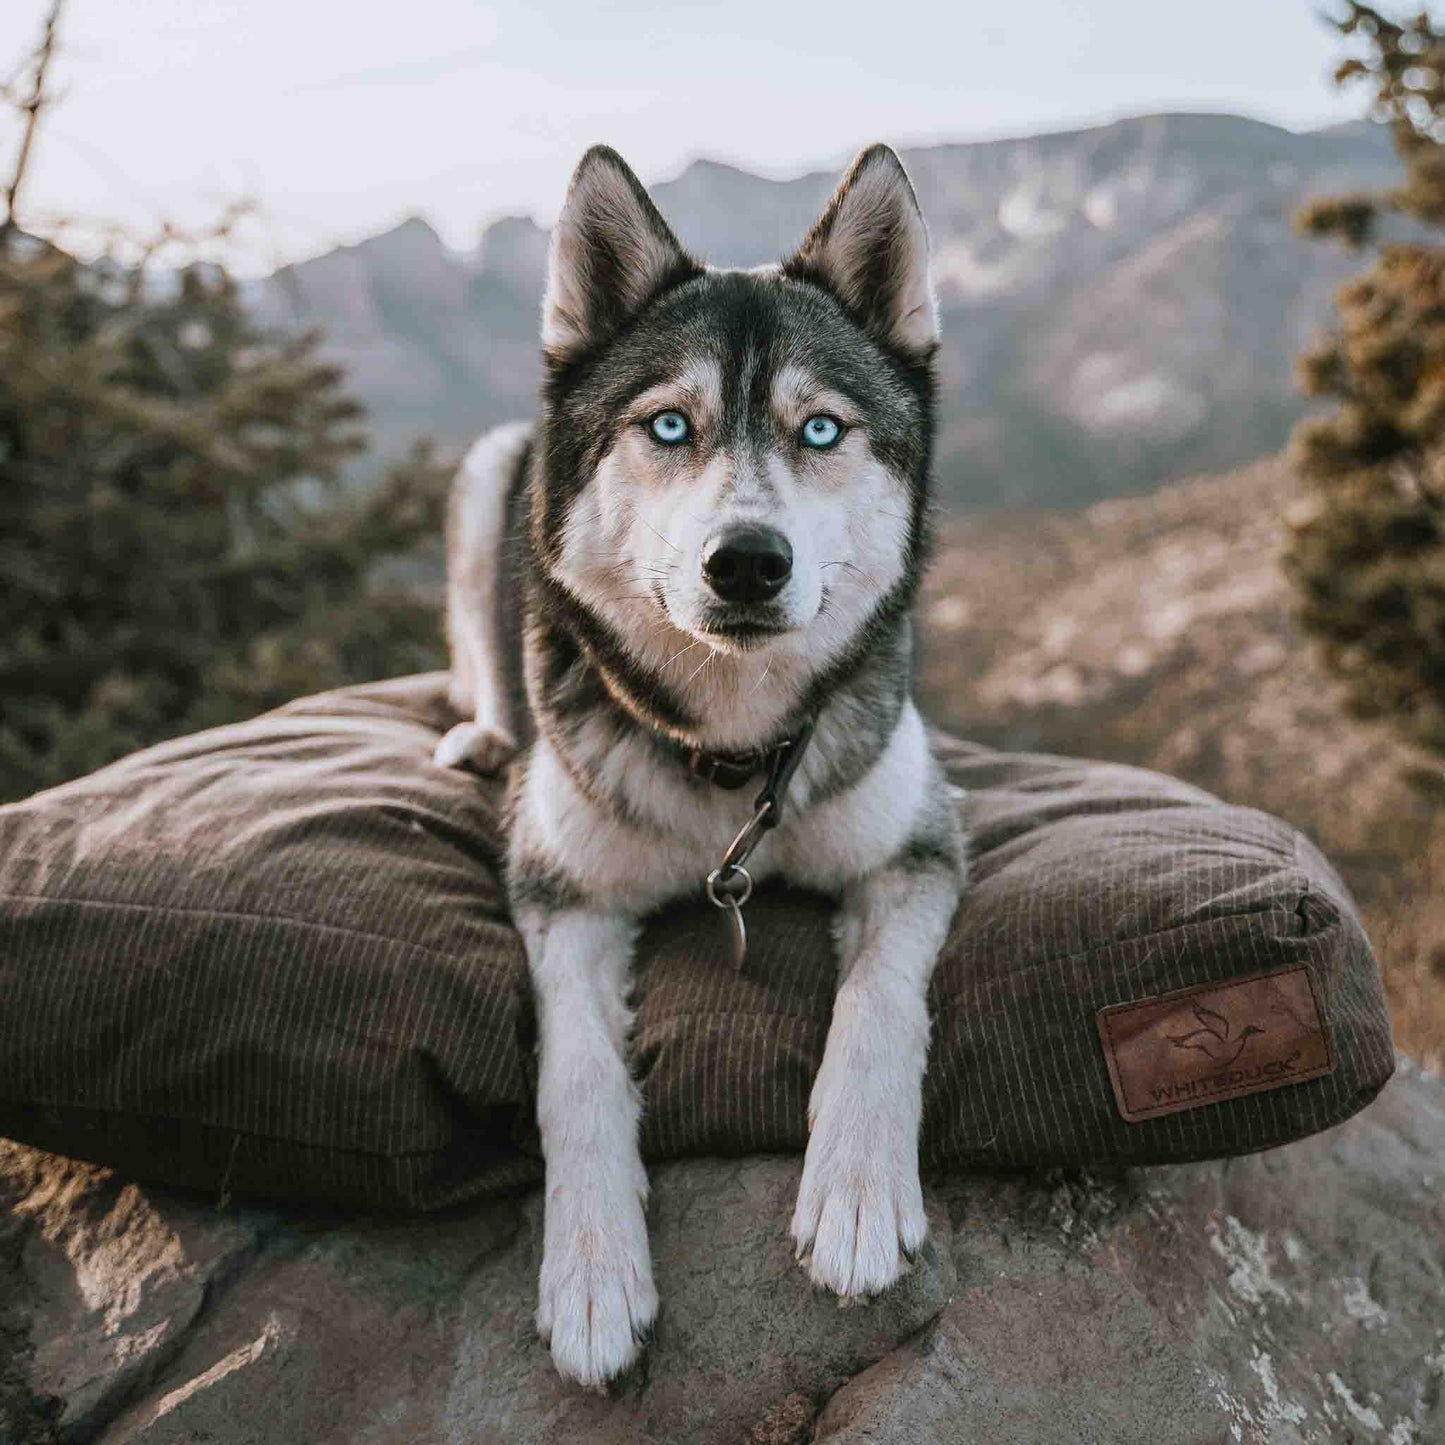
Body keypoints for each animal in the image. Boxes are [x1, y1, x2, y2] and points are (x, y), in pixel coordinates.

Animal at [436, 143, 959, 1387]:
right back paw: (479, 731)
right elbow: (575, 1072)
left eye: (819, 431)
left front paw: (857, 1189)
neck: (730, 749)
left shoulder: (919, 845)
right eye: (669, 425)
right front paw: (590, 1269)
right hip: (483, 478)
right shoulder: (558, 894)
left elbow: (880, 1000)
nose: (747, 562)